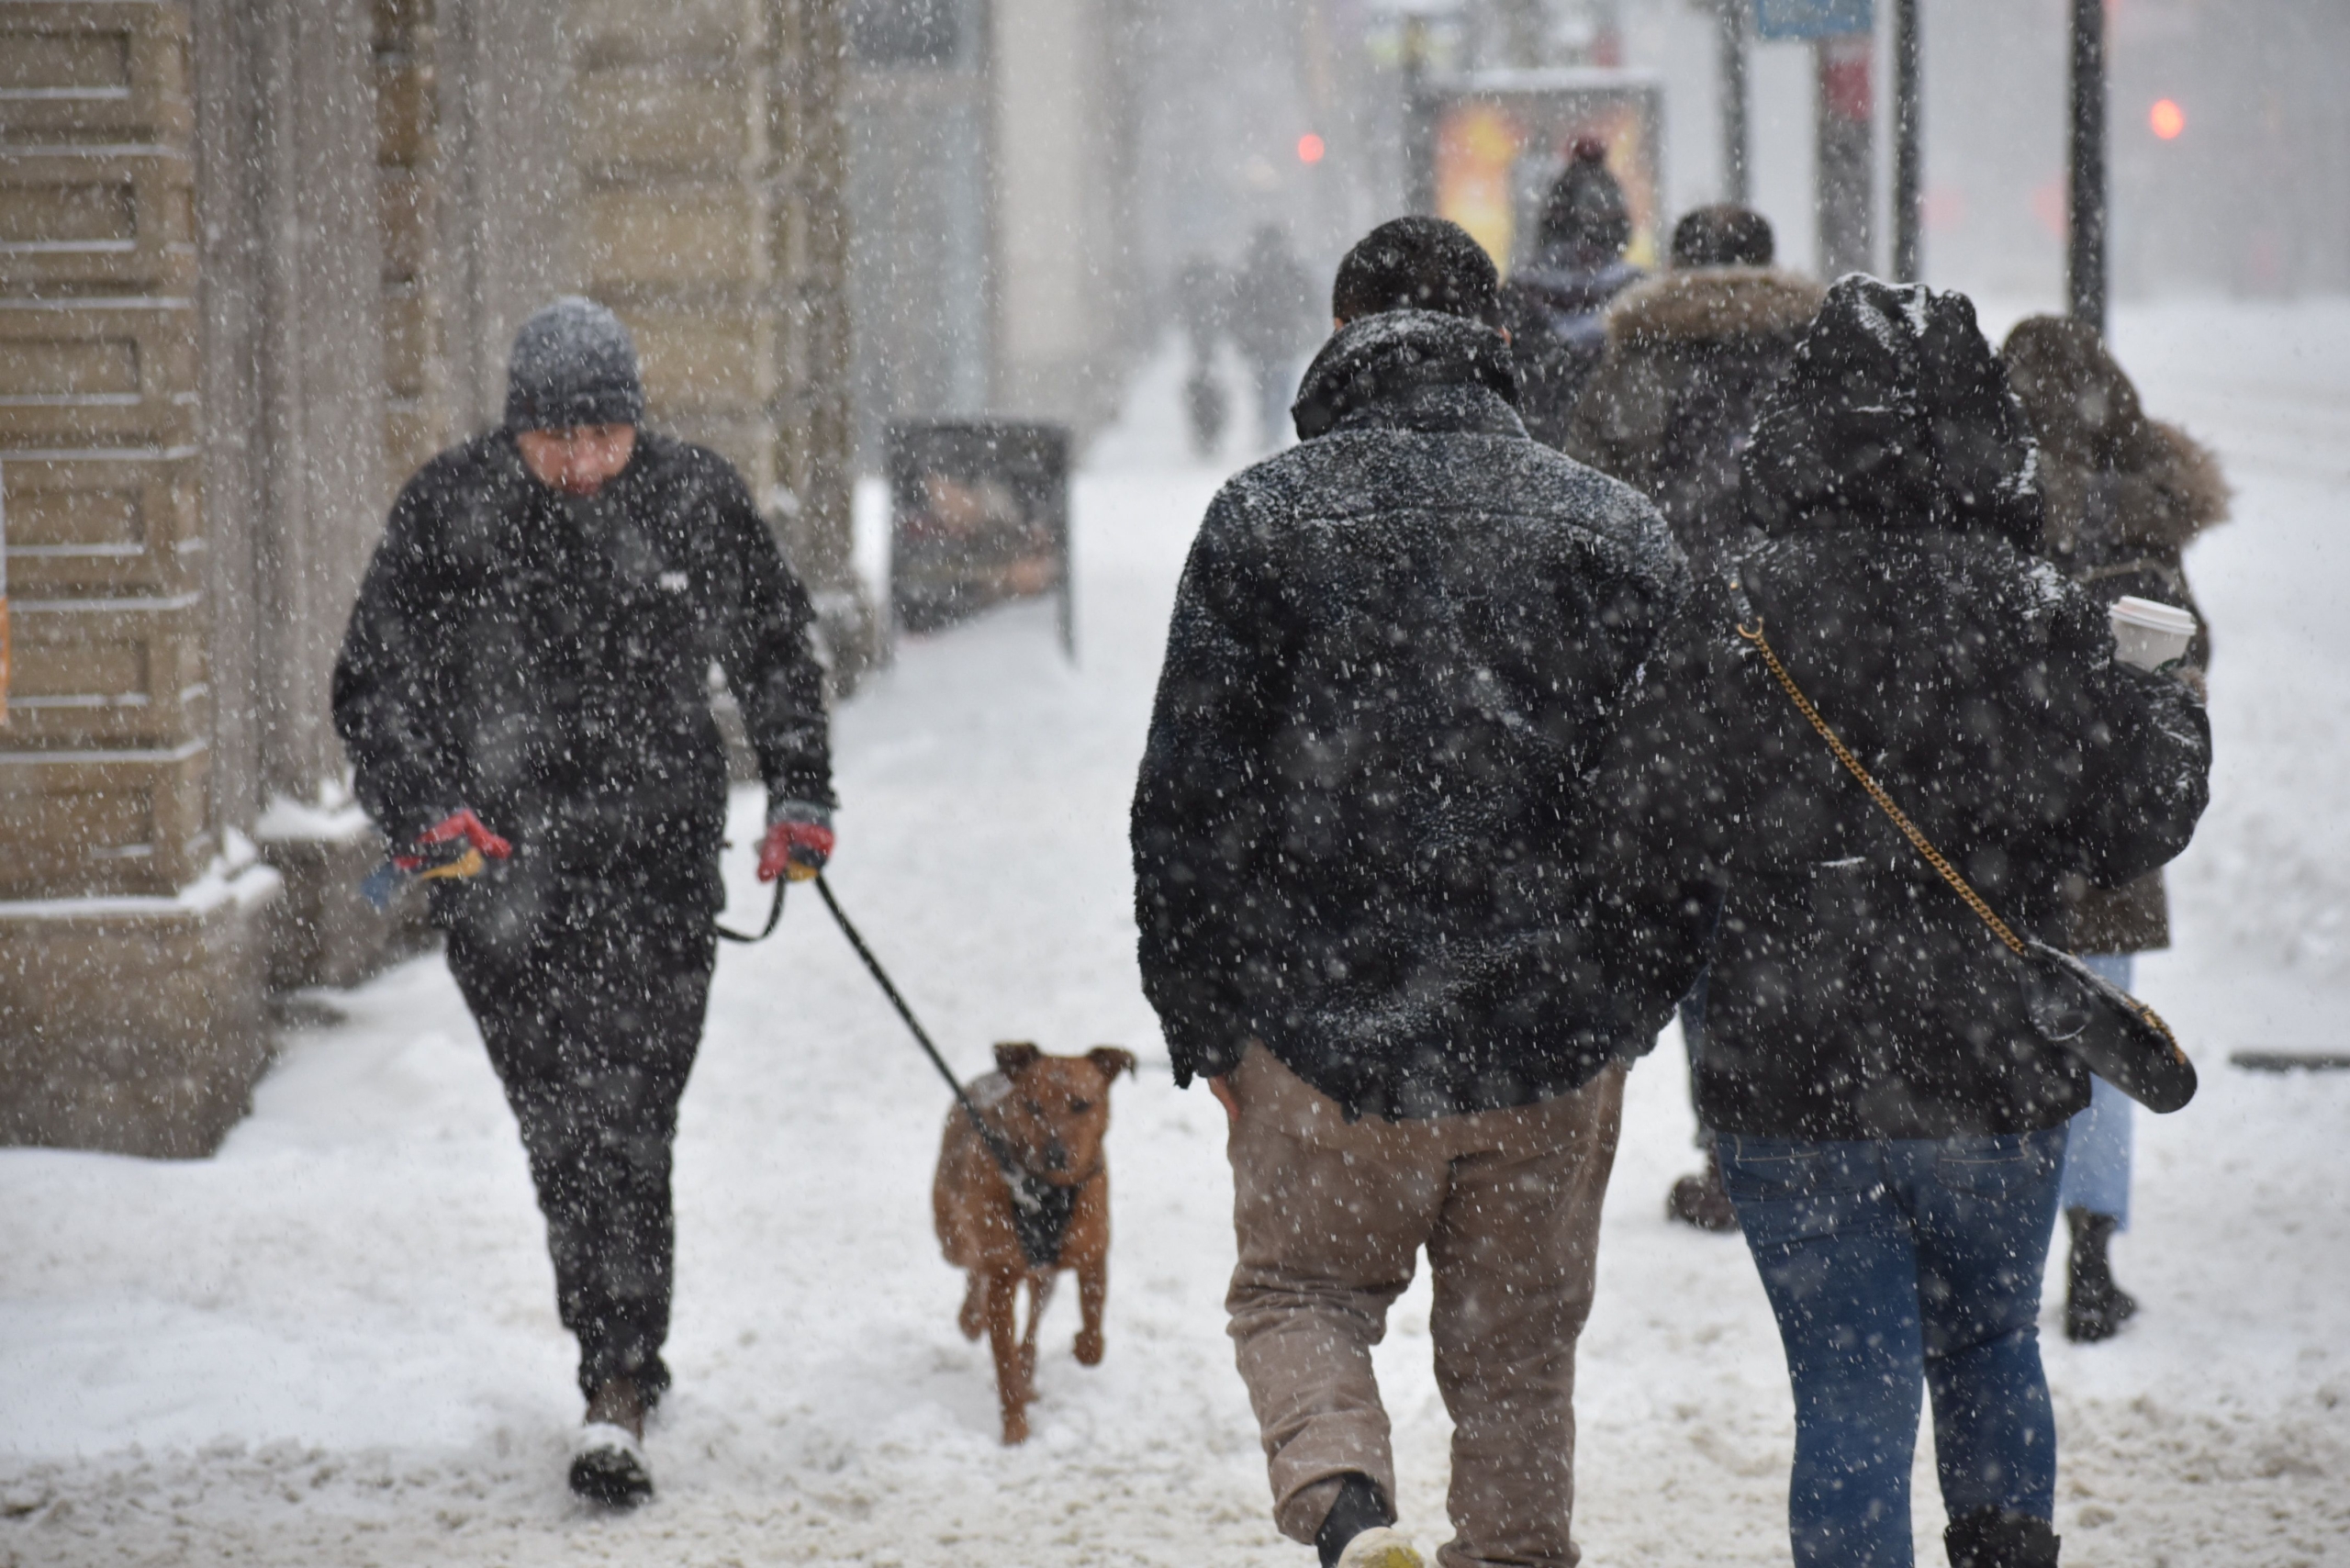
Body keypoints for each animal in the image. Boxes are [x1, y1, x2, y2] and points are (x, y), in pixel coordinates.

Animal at [930, 1043, 1132, 1448]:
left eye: (1081, 1105)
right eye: (1033, 1106)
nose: (1054, 1153)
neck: (1046, 1193)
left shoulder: (1092, 1251)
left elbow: (1093, 1313)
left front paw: (1085, 1345)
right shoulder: (1003, 1276)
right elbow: (1003, 1358)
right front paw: (1015, 1429)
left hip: (1044, 1274)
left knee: (1035, 1314)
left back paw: (1028, 1369)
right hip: (951, 1234)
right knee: (971, 1267)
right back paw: (972, 1318)